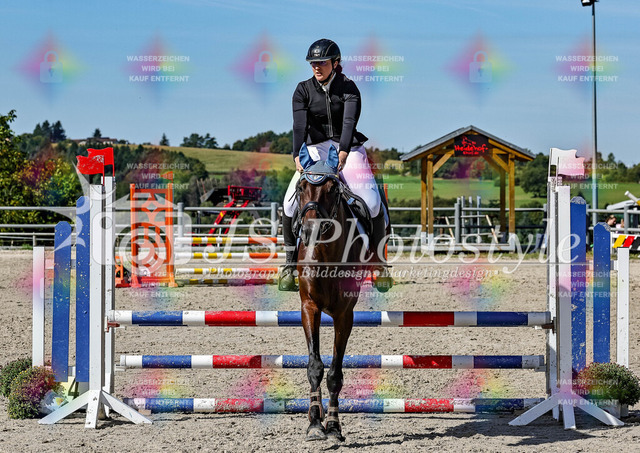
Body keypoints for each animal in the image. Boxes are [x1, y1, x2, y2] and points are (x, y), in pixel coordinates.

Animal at [293, 144, 387, 441]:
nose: (310, 231)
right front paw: (315, 423)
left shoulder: (344, 314)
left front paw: (333, 426)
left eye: (333, 190)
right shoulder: (309, 307)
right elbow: (315, 365)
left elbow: (335, 373)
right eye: (301, 188)